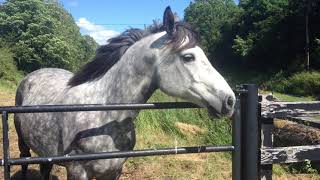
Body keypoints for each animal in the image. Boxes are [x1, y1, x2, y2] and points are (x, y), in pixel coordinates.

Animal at [14, 6, 235, 179]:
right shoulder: (77, 171)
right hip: (23, 144)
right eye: (188, 57)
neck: (104, 116)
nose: (230, 100)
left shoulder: (114, 171)